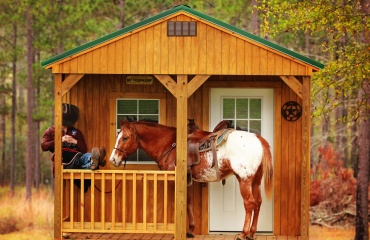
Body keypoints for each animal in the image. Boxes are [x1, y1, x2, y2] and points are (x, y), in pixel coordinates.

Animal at [109, 121, 272, 239]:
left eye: (125, 138)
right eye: (117, 136)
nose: (113, 159)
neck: (170, 144)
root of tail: (259, 139)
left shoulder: (175, 179)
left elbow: (181, 202)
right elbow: (188, 202)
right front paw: (191, 230)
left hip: (244, 179)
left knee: (249, 204)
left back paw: (243, 233)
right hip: (255, 181)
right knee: (258, 202)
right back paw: (251, 232)